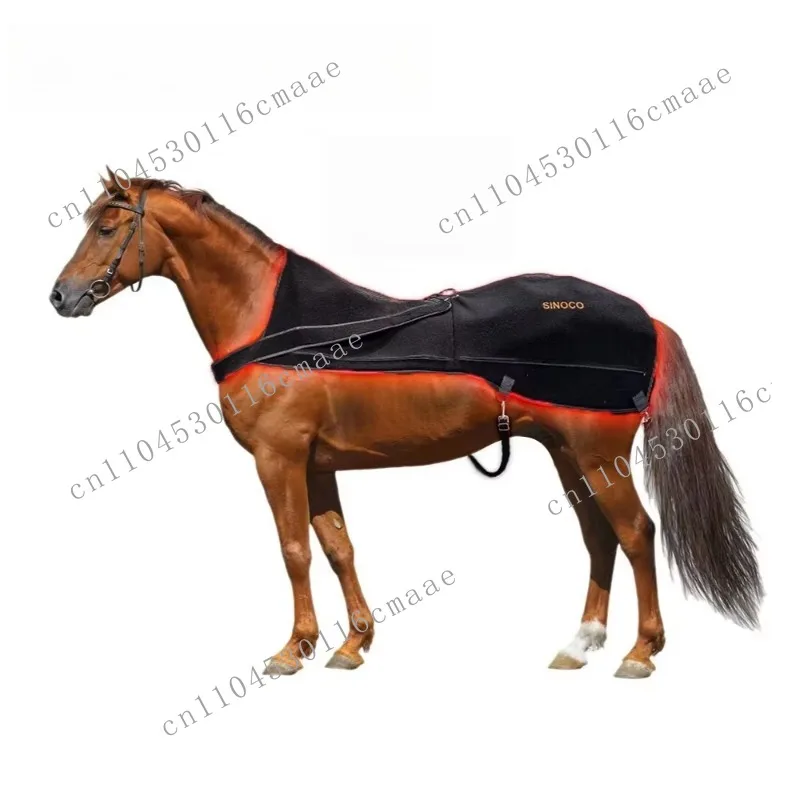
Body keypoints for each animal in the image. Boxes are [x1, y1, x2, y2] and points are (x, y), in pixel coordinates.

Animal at [50, 174, 763, 679]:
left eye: (108, 227)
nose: (61, 296)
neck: (276, 322)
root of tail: (646, 318)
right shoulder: (318, 465)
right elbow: (337, 549)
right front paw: (352, 644)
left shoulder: (279, 459)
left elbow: (293, 550)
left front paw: (292, 650)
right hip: (570, 454)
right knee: (599, 537)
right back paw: (580, 644)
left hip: (596, 454)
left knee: (637, 533)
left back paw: (640, 653)